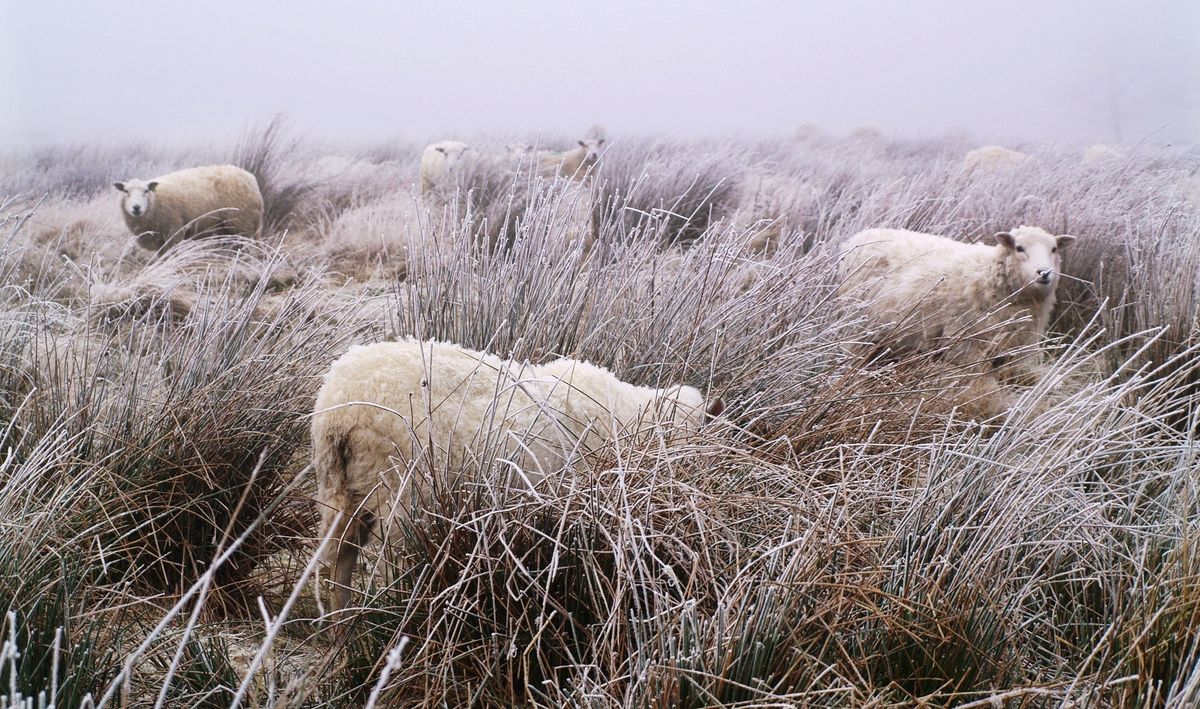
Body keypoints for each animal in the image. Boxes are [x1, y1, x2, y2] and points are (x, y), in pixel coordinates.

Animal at [112, 165, 262, 251]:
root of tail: (251, 178)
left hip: (242, 223)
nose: (136, 208)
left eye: (146, 191)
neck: (155, 201)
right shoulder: (160, 238)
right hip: (227, 227)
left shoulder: (174, 230)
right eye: (126, 191)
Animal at [312, 338, 720, 609]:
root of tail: (337, 408)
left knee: (337, 564)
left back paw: (341, 639)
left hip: (341, 492)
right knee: (386, 569)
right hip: (404, 496)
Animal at [835, 225, 1080, 383]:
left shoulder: (1010, 353)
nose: (1044, 273)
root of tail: (859, 235)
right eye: (1019, 248)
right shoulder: (967, 348)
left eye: (1054, 249)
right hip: (856, 328)